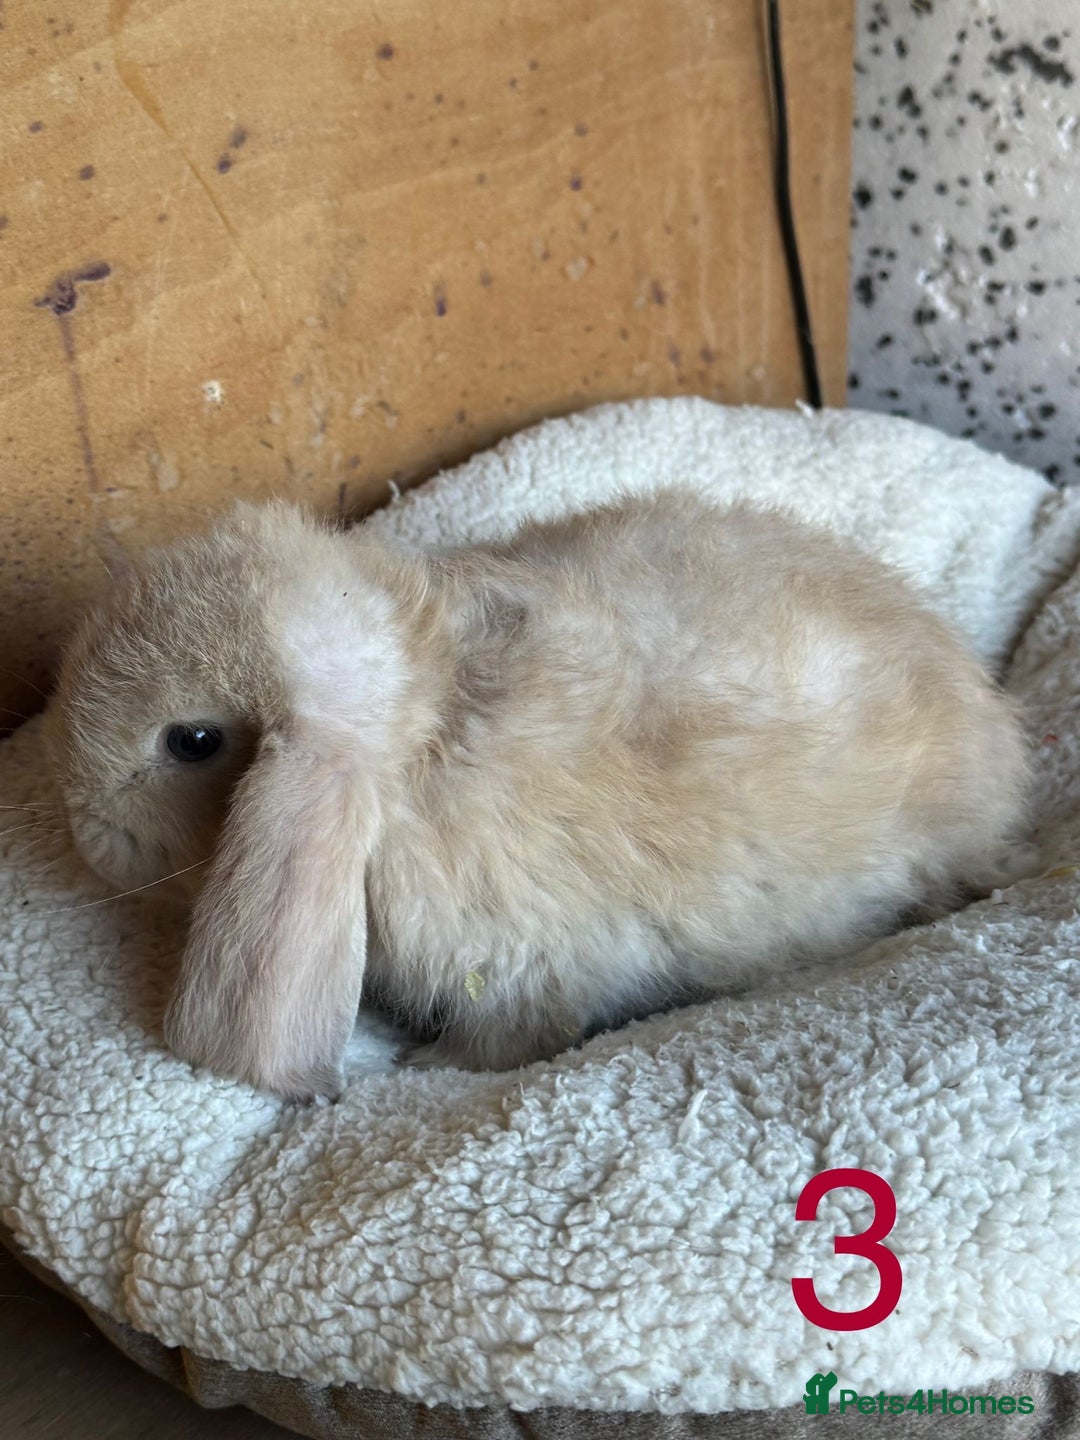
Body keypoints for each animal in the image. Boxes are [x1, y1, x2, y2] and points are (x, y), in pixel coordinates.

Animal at [48, 490, 1030, 1100]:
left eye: (193, 742)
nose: (85, 832)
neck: (422, 719)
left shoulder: (517, 974)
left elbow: (501, 1042)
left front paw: (422, 1069)